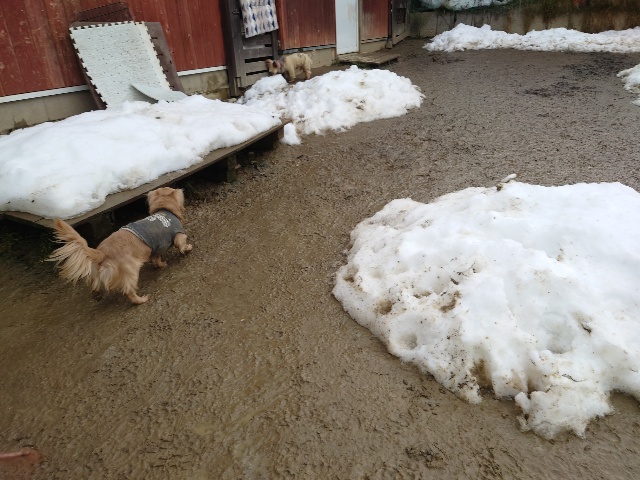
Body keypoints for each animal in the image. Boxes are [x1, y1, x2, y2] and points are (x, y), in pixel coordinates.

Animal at [48, 187, 192, 305]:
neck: (164, 209)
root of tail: (101, 252)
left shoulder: (156, 249)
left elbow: (156, 259)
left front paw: (161, 265)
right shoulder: (178, 236)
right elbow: (181, 245)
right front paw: (188, 248)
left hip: (97, 274)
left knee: (95, 286)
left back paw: (97, 295)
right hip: (131, 271)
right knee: (128, 292)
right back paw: (140, 300)